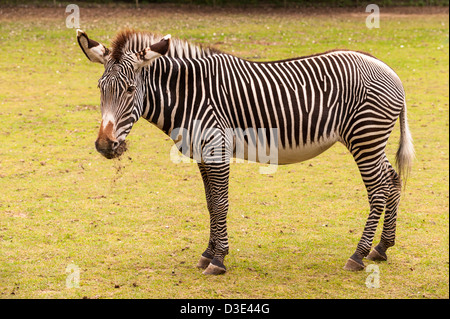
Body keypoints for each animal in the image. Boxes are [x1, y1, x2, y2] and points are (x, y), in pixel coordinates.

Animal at [75, 28, 414, 276]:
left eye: (130, 90)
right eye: (100, 87)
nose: (104, 146)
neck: (191, 95)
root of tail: (389, 70)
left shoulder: (217, 149)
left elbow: (221, 204)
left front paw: (218, 260)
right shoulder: (202, 154)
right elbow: (210, 204)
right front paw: (208, 253)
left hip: (365, 138)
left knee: (378, 189)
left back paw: (358, 254)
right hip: (372, 140)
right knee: (392, 179)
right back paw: (382, 248)